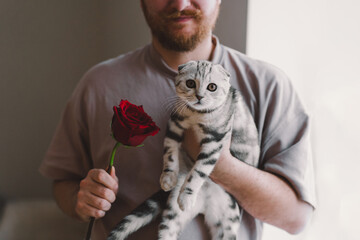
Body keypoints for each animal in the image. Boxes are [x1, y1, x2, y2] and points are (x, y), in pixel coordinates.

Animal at [107, 60, 258, 240]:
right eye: (190, 83)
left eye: (212, 87)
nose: (199, 96)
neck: (195, 115)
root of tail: (203, 205)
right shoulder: (174, 124)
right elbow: (169, 152)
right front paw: (167, 177)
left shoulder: (215, 140)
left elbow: (199, 170)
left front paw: (186, 196)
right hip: (174, 213)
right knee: (167, 232)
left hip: (227, 220)